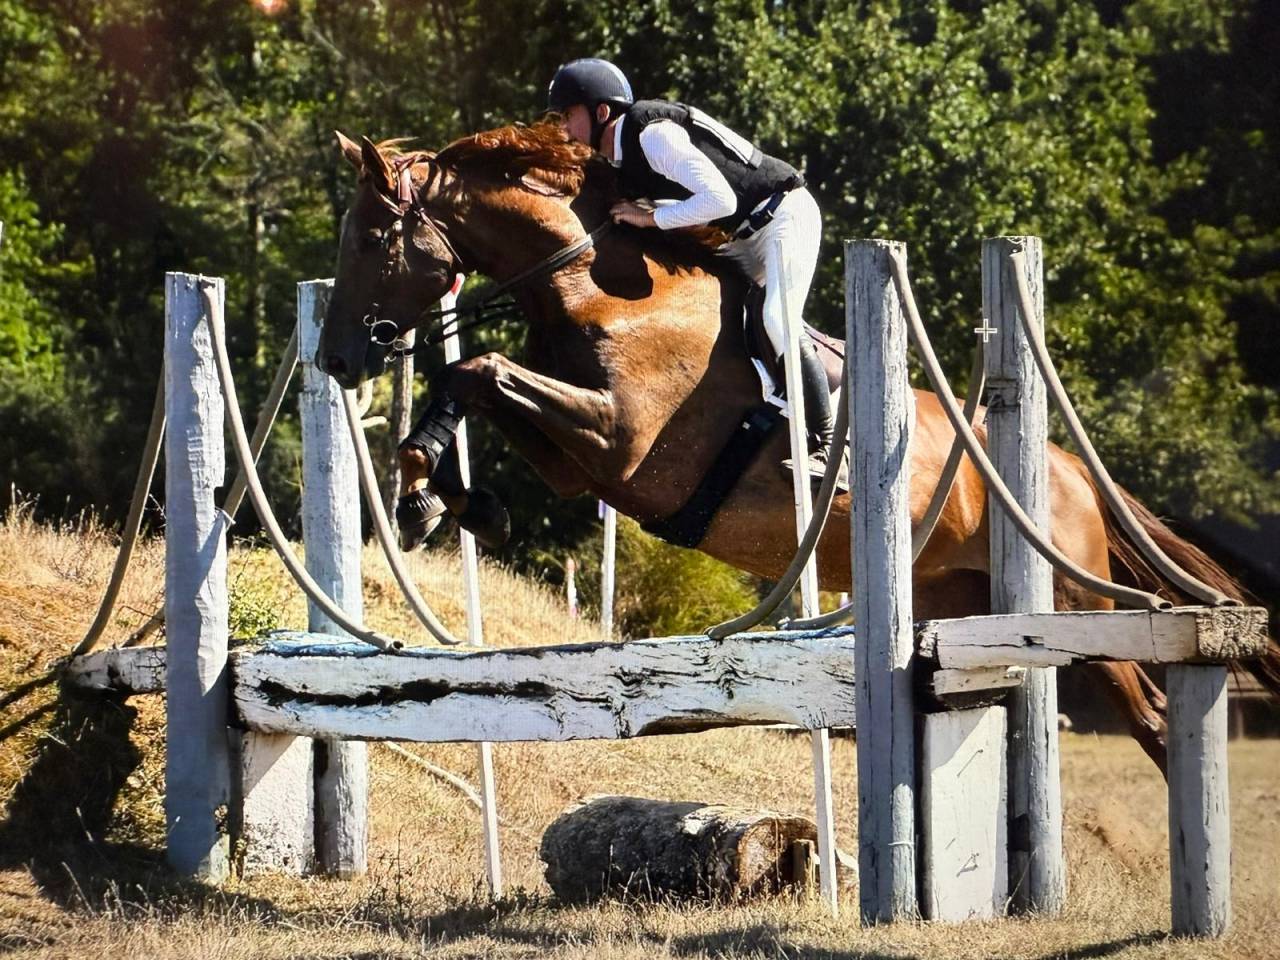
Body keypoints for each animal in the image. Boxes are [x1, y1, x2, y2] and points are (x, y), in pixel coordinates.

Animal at [318, 119, 1279, 773]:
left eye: (368, 238)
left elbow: (477, 369)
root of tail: (1069, 468)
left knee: (1150, 712)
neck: (597, 283)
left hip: (1080, 607)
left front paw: (427, 490)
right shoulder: (583, 456)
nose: (332, 360)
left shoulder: (623, 440)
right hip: (968, 599)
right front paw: (443, 496)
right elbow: (471, 381)